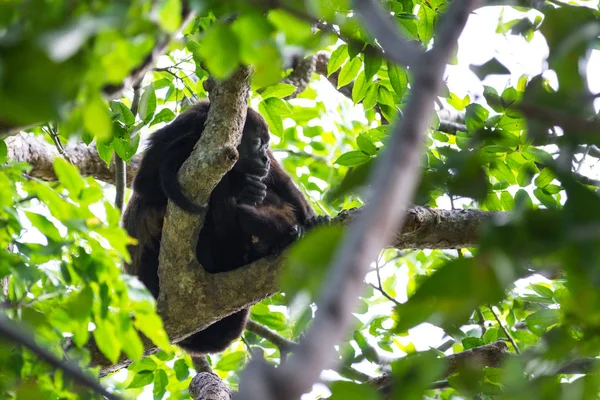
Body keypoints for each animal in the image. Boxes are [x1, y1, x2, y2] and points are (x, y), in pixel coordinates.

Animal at [122, 101, 326, 354]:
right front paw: (238, 185)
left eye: (267, 145)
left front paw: (312, 221)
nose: (265, 158)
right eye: (257, 142)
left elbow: (286, 186)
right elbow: (144, 182)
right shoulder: (185, 124)